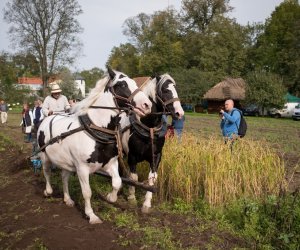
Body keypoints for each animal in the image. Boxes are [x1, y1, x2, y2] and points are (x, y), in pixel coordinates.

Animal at [37, 69, 152, 225]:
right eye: (122, 85)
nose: (147, 105)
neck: (96, 130)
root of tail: (49, 117)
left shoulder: (111, 163)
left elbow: (117, 182)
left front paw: (110, 197)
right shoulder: (82, 169)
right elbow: (87, 192)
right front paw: (91, 215)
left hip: (66, 162)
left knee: (64, 177)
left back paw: (68, 199)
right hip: (44, 157)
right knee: (47, 172)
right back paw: (48, 191)